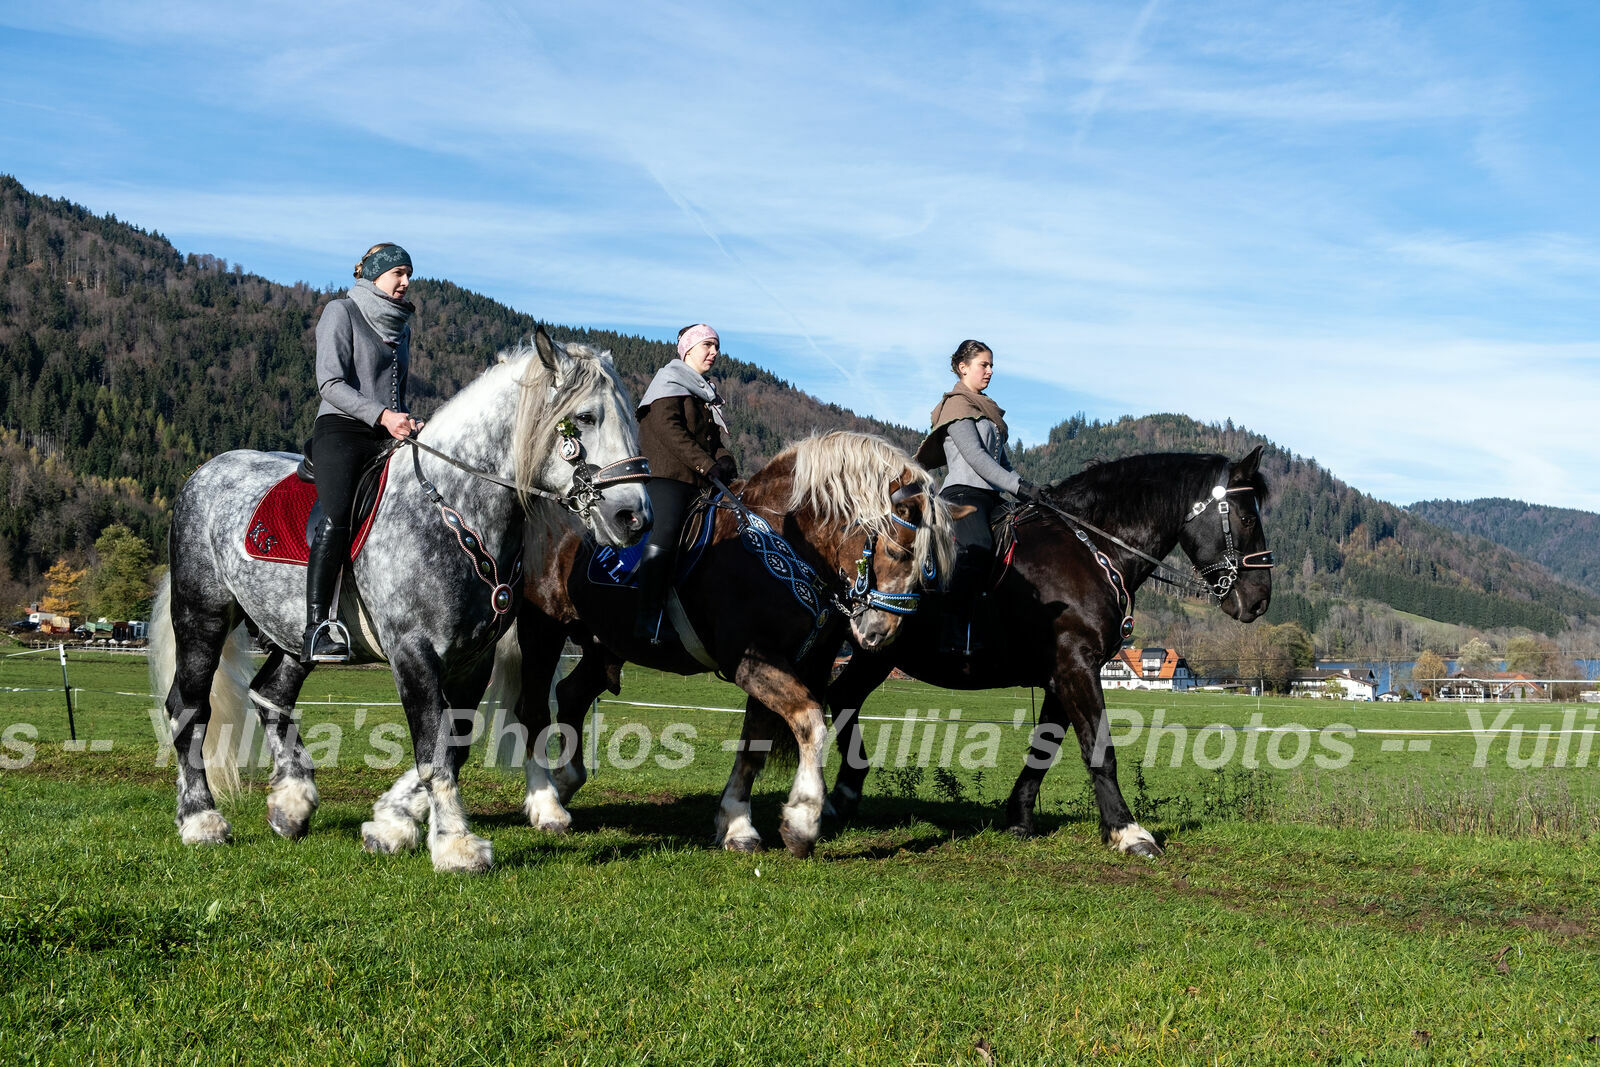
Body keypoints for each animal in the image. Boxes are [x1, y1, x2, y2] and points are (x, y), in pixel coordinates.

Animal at [150, 329, 649, 870]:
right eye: (586, 418)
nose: (633, 518)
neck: (454, 512)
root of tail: (205, 471)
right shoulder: (414, 651)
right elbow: (433, 752)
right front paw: (454, 845)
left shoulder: (473, 659)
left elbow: (454, 745)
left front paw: (392, 825)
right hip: (202, 613)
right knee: (189, 708)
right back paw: (201, 820)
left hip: (294, 633)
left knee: (270, 694)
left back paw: (292, 803)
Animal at [825, 444, 1273, 857]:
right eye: (1248, 518)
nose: (1259, 601)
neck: (1092, 549)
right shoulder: (1077, 666)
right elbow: (1099, 748)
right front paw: (1128, 831)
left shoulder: (1062, 675)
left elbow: (1045, 746)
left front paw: (1019, 819)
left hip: (872, 650)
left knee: (842, 696)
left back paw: (839, 796)